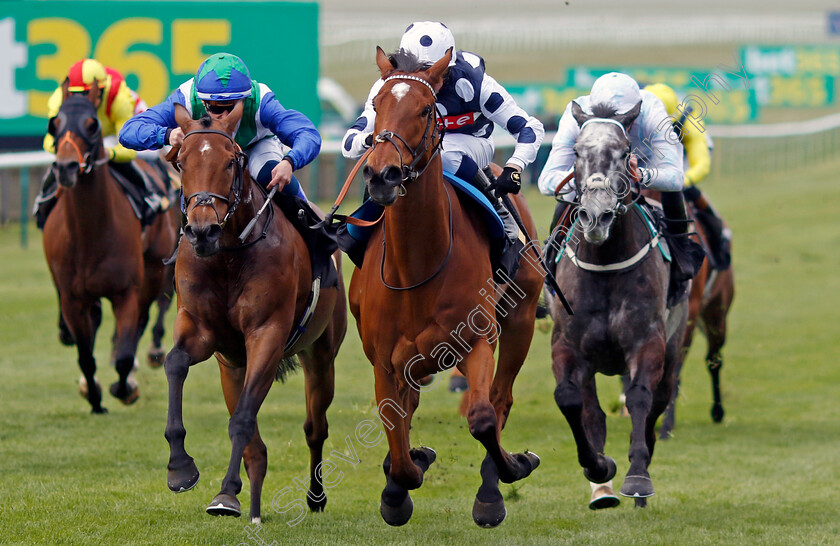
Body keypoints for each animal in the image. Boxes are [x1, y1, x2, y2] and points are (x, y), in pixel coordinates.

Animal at [43, 83, 177, 410]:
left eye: (92, 125)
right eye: (55, 124)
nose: (65, 168)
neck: (90, 236)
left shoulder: (126, 292)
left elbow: (125, 354)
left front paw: (124, 388)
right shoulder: (73, 299)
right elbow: (85, 356)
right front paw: (94, 397)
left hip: (153, 269)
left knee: (148, 315)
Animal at [162, 102, 346, 524]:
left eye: (231, 162)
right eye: (181, 161)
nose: (202, 231)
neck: (228, 256)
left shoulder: (268, 334)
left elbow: (244, 420)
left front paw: (226, 488)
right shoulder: (201, 330)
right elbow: (175, 363)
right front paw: (181, 468)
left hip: (321, 355)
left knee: (315, 427)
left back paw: (314, 496)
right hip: (231, 365)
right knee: (254, 442)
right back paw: (244, 501)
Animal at [350, 47, 540, 528]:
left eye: (424, 109)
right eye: (376, 104)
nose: (381, 175)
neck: (417, 266)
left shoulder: (476, 341)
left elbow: (483, 417)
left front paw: (511, 470)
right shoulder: (385, 361)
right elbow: (396, 437)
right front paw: (398, 487)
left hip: (522, 319)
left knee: (501, 398)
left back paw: (492, 490)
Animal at [552, 100, 688, 508]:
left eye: (625, 151)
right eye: (576, 152)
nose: (596, 215)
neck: (606, 264)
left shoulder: (648, 341)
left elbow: (640, 398)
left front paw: (638, 476)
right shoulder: (568, 345)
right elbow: (570, 400)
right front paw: (598, 468)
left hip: (675, 345)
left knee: (658, 400)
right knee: (592, 411)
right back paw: (602, 489)